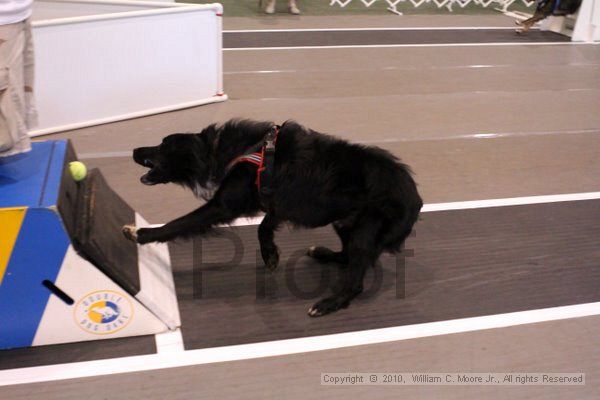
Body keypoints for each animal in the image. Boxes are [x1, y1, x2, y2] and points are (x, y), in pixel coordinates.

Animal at [122, 119, 422, 316]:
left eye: (162, 144)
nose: (134, 150)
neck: (221, 151)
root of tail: (416, 198)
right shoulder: (275, 199)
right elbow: (264, 226)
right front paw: (270, 254)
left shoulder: (224, 205)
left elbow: (179, 223)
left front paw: (141, 234)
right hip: (345, 222)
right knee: (347, 256)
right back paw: (322, 253)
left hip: (365, 229)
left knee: (356, 281)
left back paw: (328, 303)